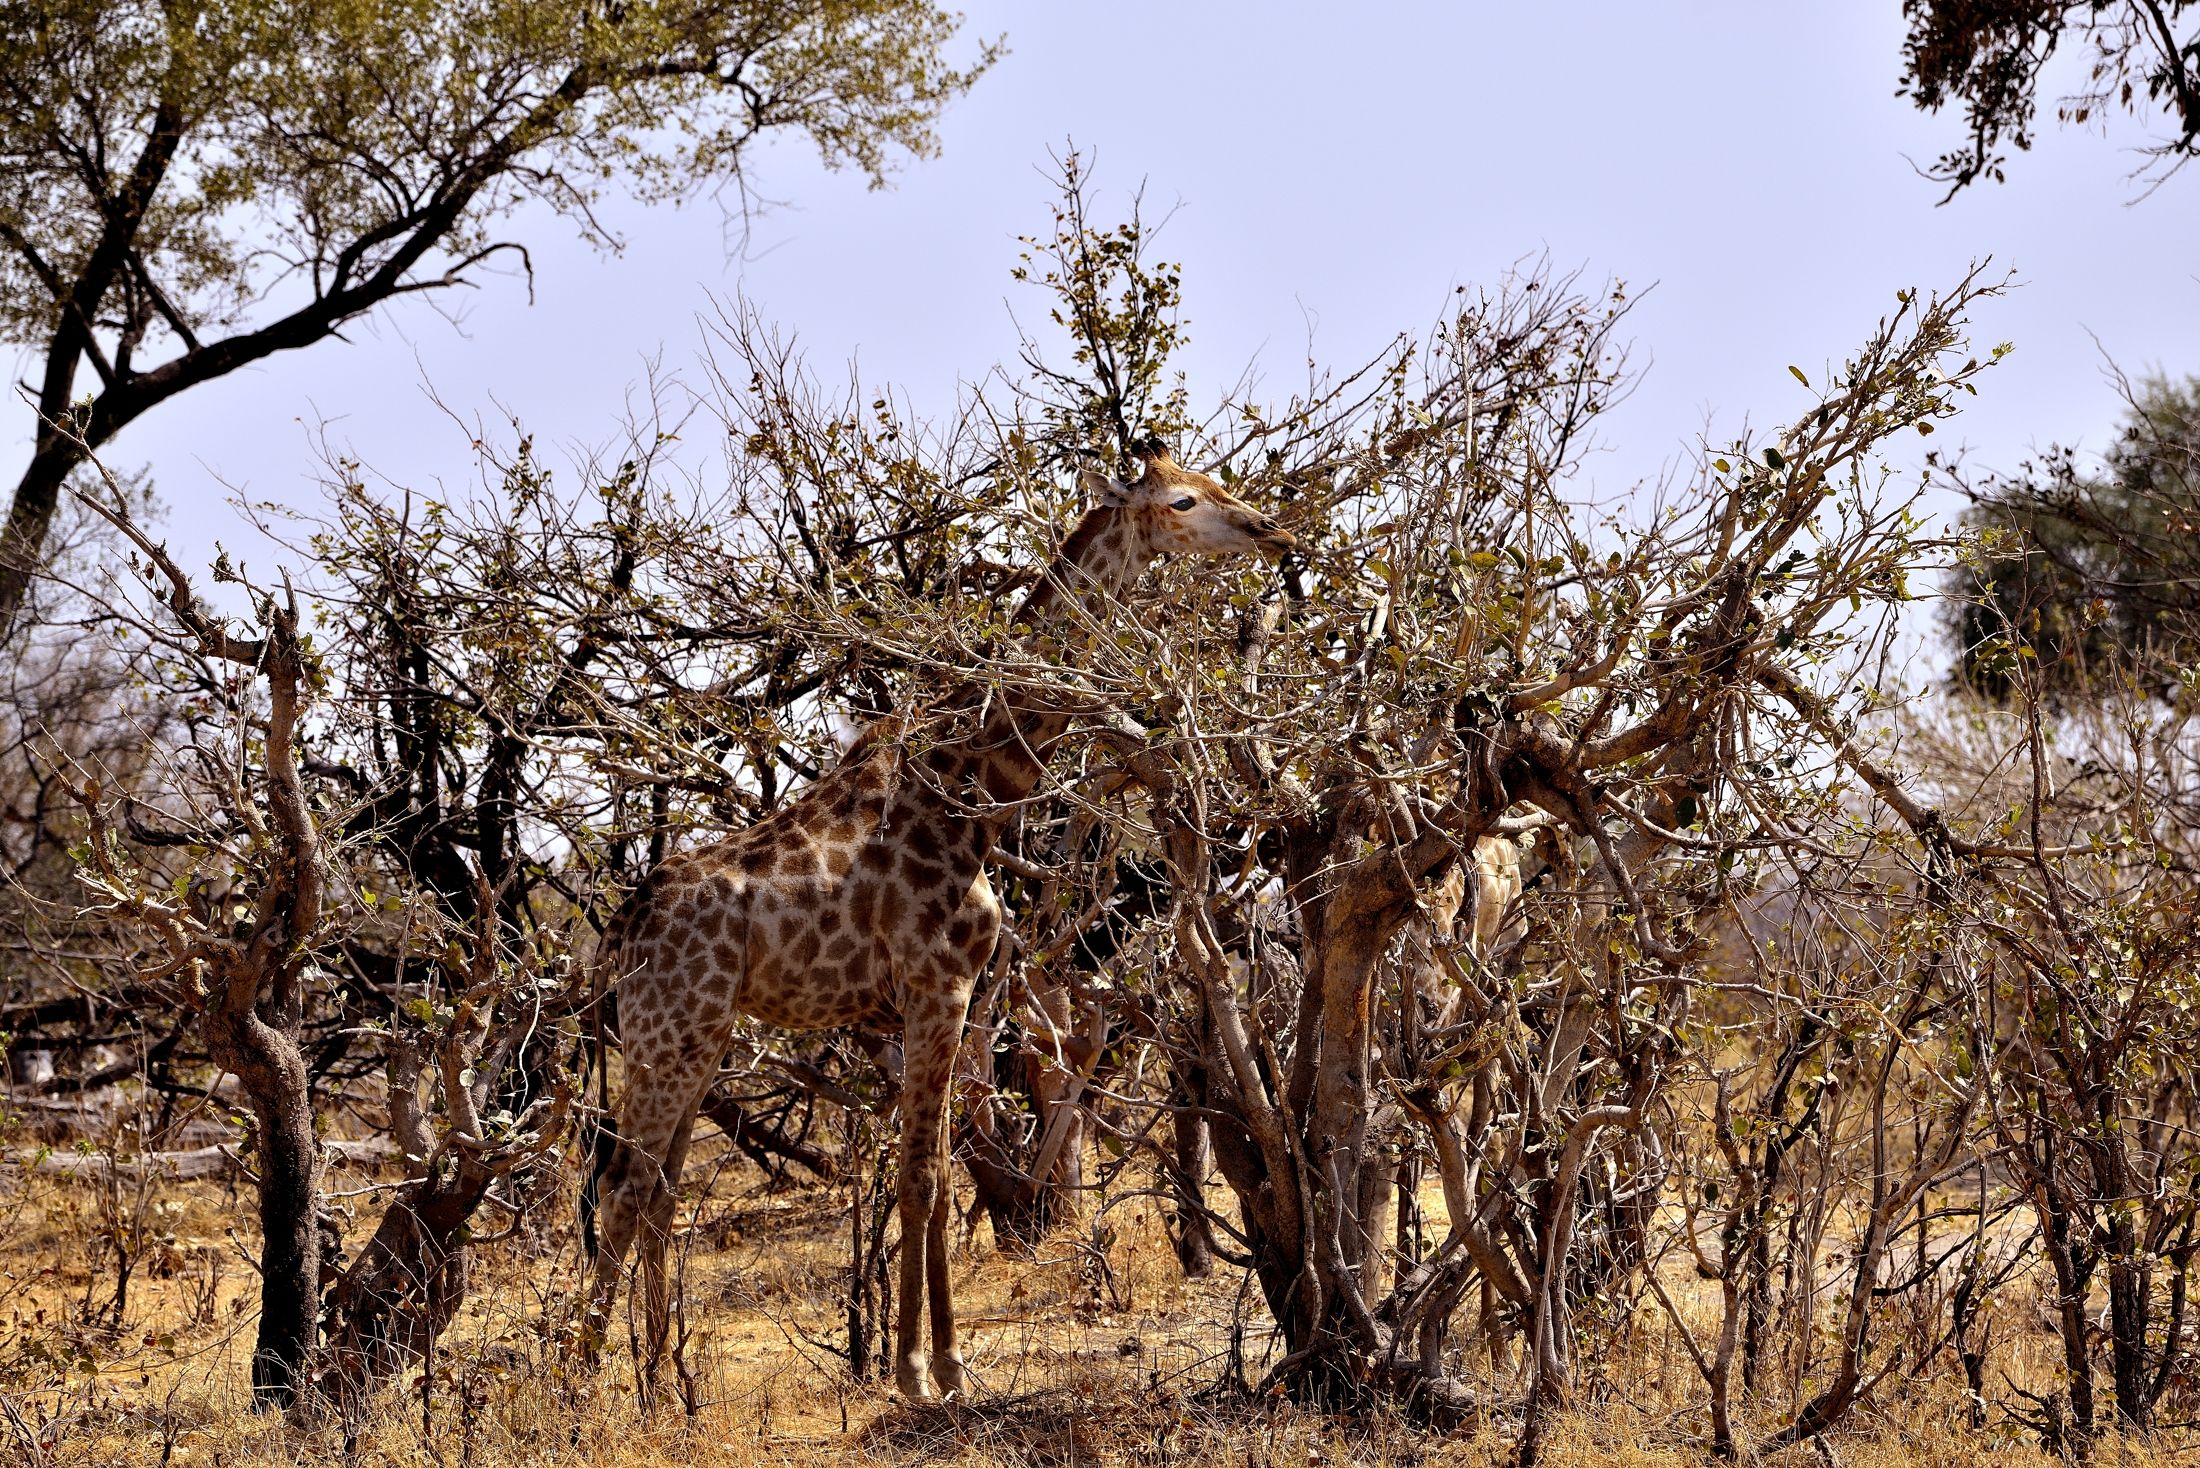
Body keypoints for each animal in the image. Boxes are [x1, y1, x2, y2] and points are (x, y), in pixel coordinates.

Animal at [586, 447, 1294, 1400]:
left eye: (1213, 480)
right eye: (1182, 500)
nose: (1270, 530)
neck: (969, 789)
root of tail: (621, 931)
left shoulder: (949, 994)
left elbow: (937, 1169)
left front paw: (940, 1362)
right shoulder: (938, 985)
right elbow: (924, 1172)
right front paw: (923, 1368)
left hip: (704, 1036)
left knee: (659, 1191)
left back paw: (665, 1388)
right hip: (670, 1033)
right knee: (625, 1186)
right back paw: (576, 1381)